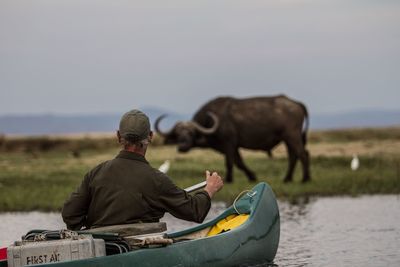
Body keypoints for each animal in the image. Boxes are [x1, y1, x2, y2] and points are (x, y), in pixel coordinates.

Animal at [155, 95, 310, 183]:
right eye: (178, 134)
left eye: (191, 133)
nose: (182, 146)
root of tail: (297, 103)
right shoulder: (232, 147)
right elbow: (239, 162)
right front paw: (252, 176)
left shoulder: (229, 143)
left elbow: (230, 163)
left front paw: (230, 179)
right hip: (287, 139)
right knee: (294, 156)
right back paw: (288, 178)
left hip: (292, 135)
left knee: (302, 154)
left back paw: (305, 179)